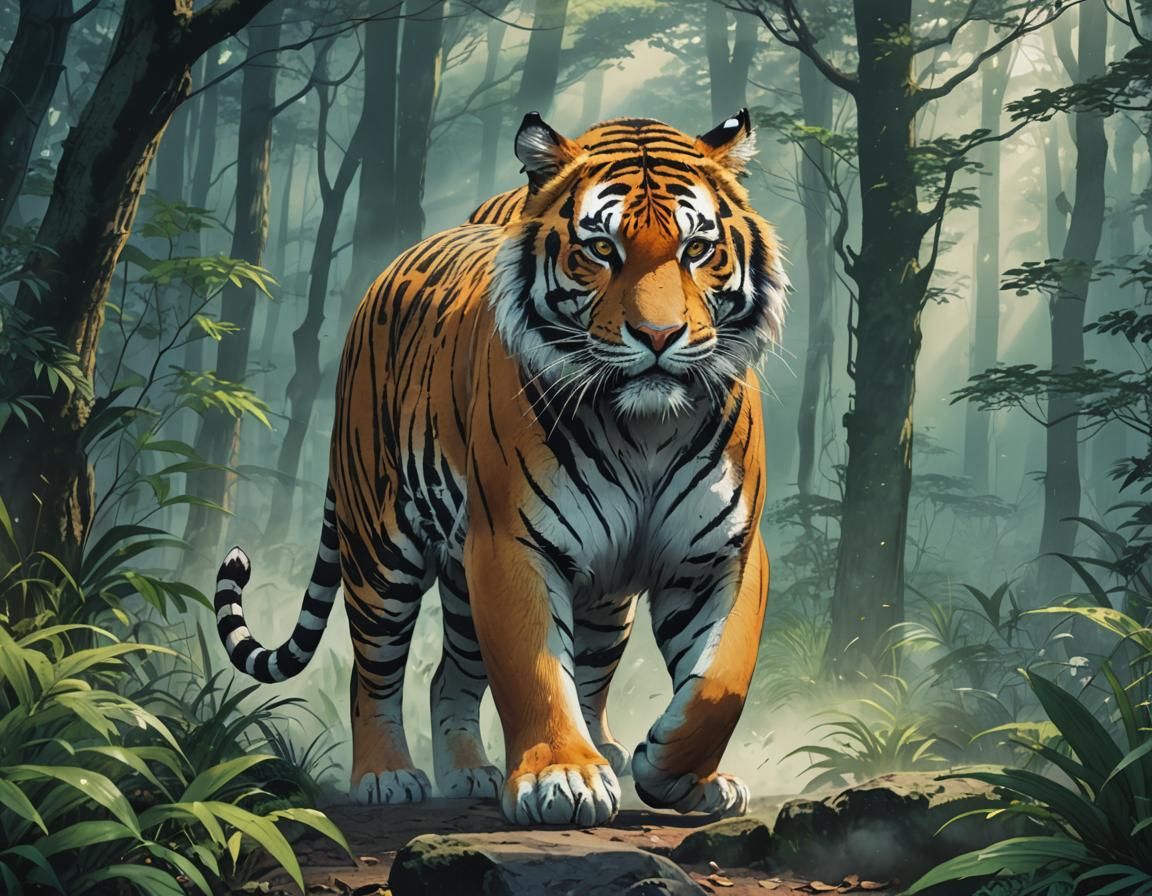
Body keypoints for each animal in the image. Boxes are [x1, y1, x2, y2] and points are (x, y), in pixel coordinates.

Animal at [213, 109, 786, 826]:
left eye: (697, 250)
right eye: (602, 250)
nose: (658, 338)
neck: (645, 428)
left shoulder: (723, 553)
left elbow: (721, 681)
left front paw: (680, 774)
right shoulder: (513, 543)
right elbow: (533, 671)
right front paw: (563, 777)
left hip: (549, 595)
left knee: (457, 674)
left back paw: (482, 770)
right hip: (381, 550)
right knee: (372, 670)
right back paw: (387, 775)